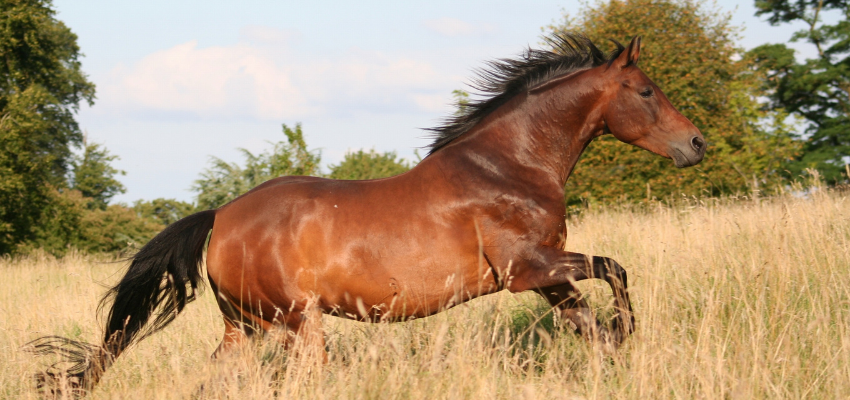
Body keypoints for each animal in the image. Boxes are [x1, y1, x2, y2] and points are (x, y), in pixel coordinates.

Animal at [29, 33, 704, 394]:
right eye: (646, 91)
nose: (696, 144)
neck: (508, 166)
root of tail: (220, 219)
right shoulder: (528, 270)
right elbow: (615, 269)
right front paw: (627, 332)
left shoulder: (548, 278)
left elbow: (591, 321)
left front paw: (617, 354)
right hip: (298, 325)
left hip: (245, 328)